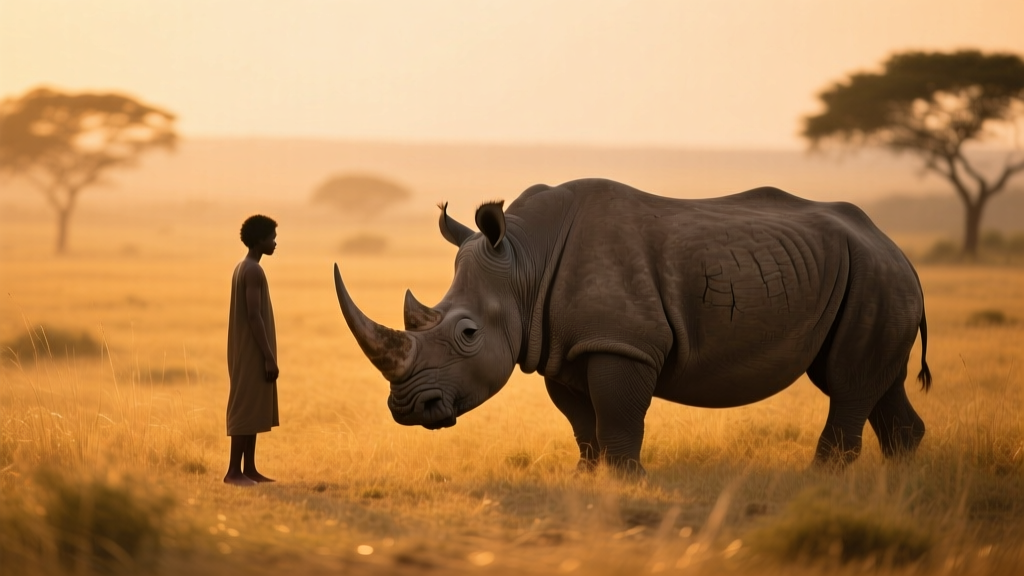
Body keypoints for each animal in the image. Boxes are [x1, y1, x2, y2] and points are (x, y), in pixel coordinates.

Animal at [333, 178, 931, 474]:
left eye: (467, 334)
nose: (409, 410)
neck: (525, 259)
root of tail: (897, 248)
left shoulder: (622, 343)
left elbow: (618, 412)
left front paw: (626, 480)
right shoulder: (562, 347)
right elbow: (581, 420)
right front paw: (588, 476)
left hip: (874, 275)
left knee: (848, 383)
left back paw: (823, 477)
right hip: (873, 277)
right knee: (876, 381)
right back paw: (900, 475)